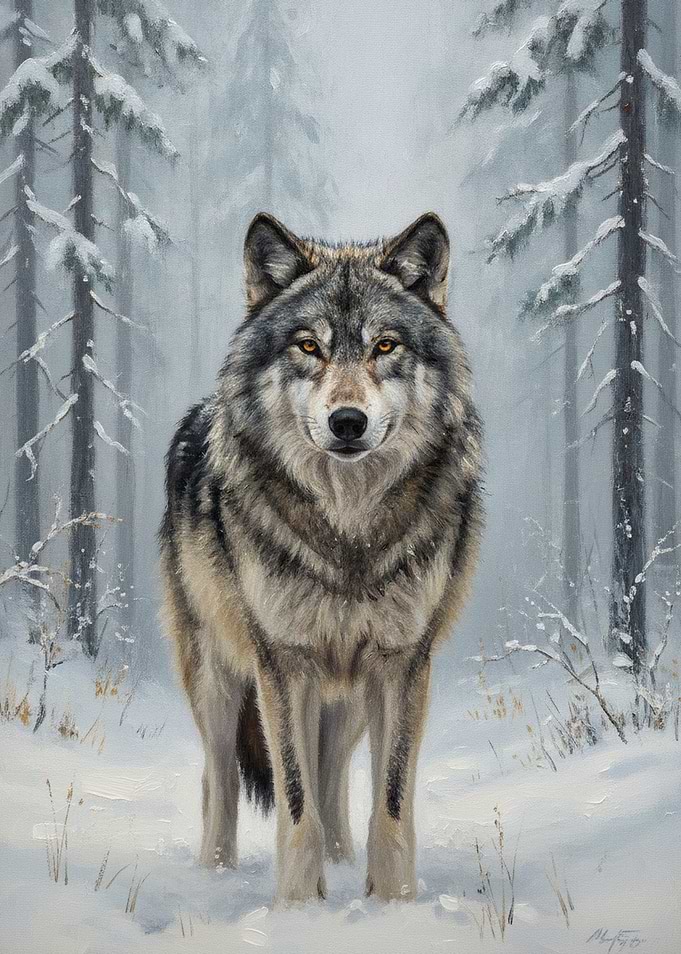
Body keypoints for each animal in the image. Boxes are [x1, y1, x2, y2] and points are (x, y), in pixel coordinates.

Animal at [159, 211, 483, 904]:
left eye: (385, 346)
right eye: (309, 347)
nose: (348, 422)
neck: (347, 530)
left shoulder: (400, 663)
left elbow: (388, 801)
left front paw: (391, 904)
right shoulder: (284, 662)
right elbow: (294, 797)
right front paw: (298, 907)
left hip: (348, 700)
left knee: (333, 778)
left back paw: (341, 863)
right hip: (218, 678)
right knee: (220, 781)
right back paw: (215, 874)